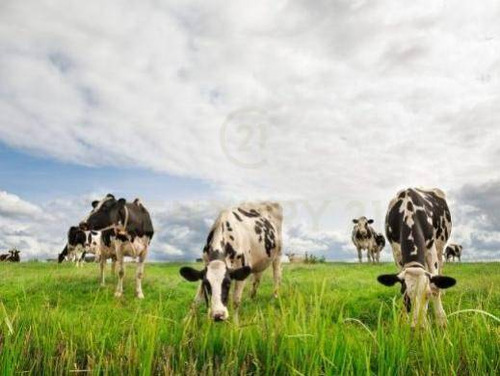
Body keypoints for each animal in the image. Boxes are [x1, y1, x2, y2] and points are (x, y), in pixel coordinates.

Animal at [376, 188, 456, 326]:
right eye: (406, 295)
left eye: (427, 295)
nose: (418, 328)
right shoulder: (396, 252)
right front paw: (403, 318)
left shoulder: (430, 248)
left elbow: (434, 287)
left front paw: (441, 320)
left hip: (440, 247)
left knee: (440, 268)